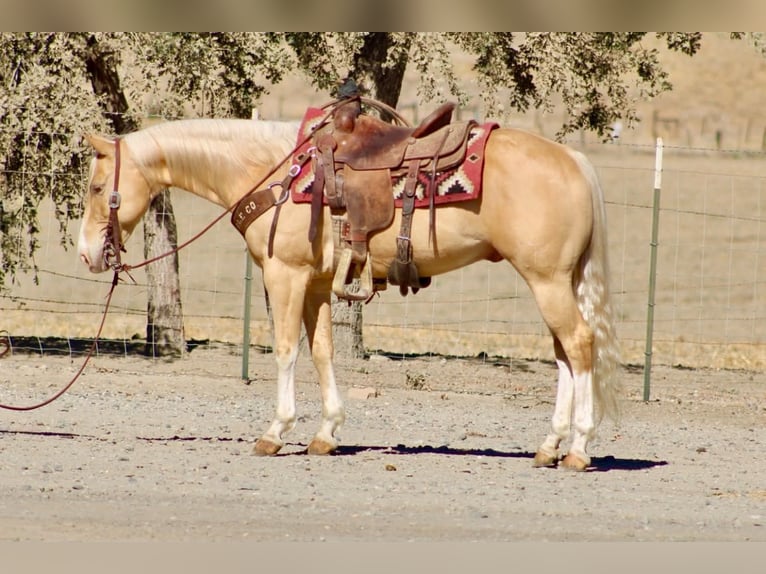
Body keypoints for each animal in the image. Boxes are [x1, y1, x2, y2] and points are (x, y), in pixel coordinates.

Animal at [78, 111, 621, 471]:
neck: (275, 172)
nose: (87, 254)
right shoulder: (317, 283)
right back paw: (550, 446)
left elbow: (285, 350)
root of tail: (573, 159)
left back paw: (578, 449)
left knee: (578, 345)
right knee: (564, 354)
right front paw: (326, 433)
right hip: (556, 281)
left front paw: (275, 432)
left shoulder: (285, 275)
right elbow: (322, 352)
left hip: (547, 281)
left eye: (96, 185)